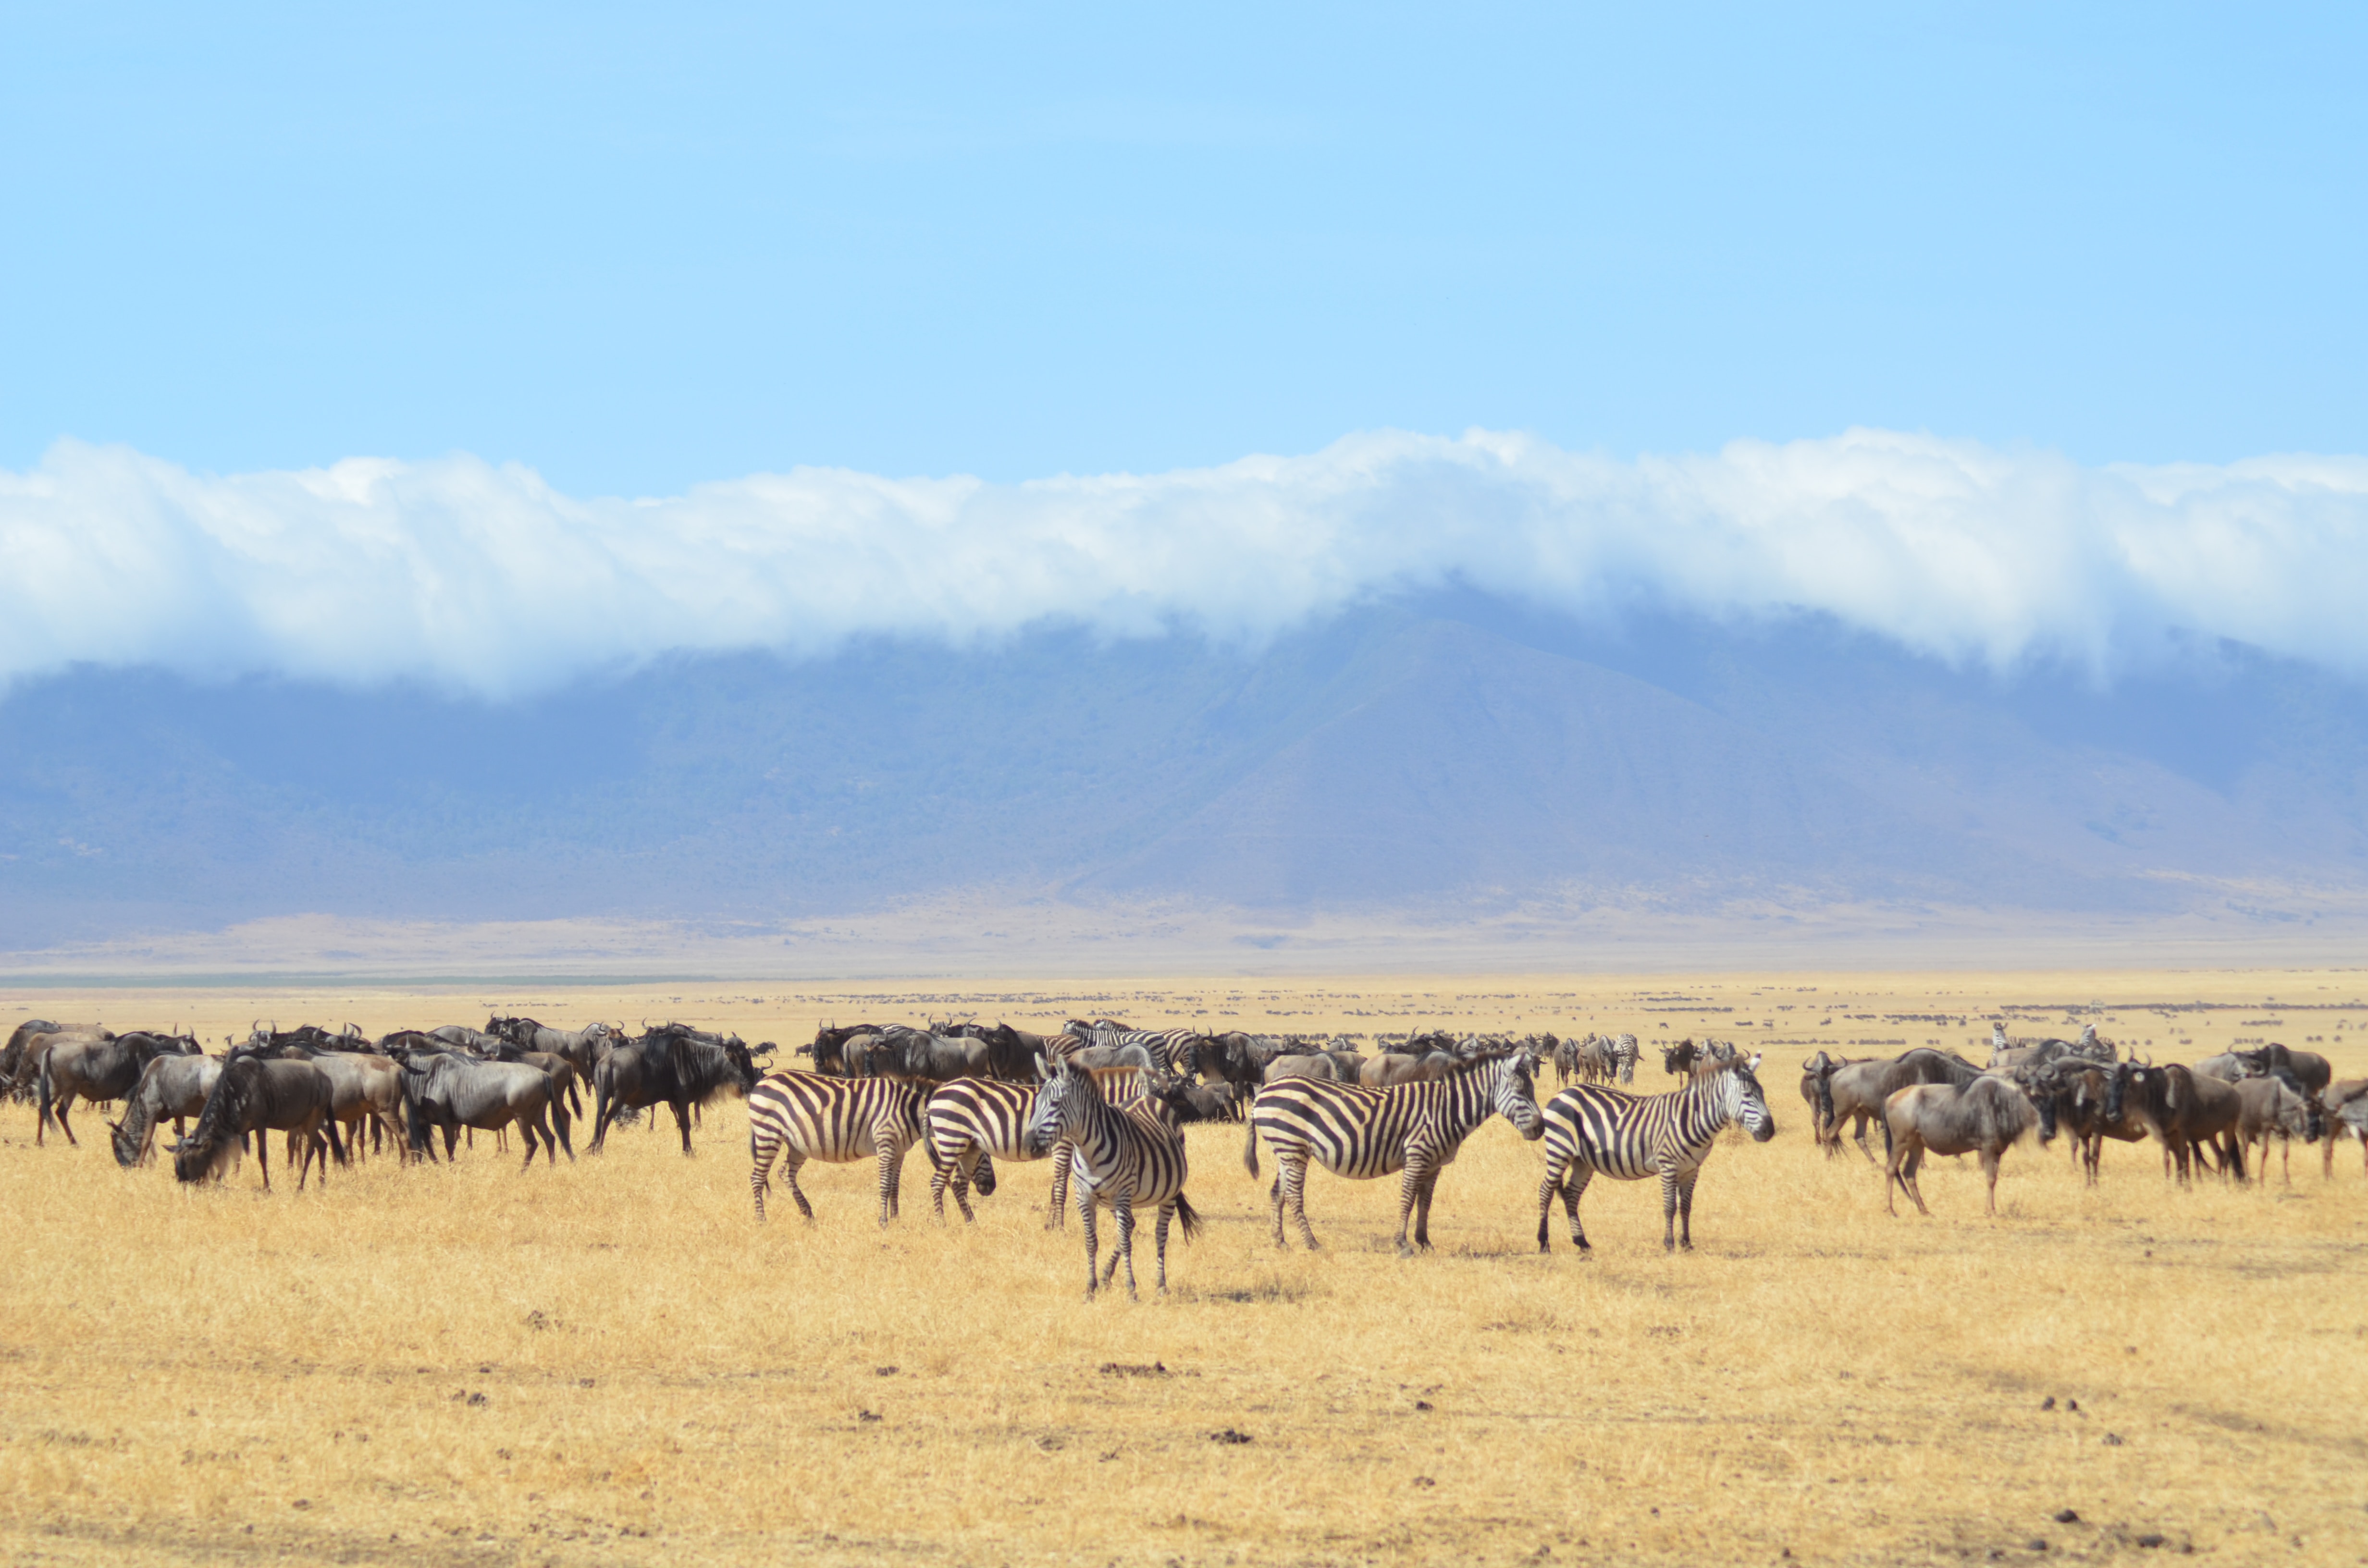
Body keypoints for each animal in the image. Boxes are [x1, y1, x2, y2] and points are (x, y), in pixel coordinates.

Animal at [748, 1075, 923, 1231]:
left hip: (796, 1145)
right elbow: (885, 1186)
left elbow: (895, 1187)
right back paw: (761, 1221)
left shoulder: (900, 1151)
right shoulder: (886, 1143)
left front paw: (896, 1220)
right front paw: (884, 1222)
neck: (906, 1109)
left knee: (785, 1173)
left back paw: (809, 1215)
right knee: (758, 1178)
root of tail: (762, 1082)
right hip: (768, 1133)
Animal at [1023, 1056, 1203, 1298]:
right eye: (1037, 1102)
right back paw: (1107, 1276)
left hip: (1167, 1194)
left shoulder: (1122, 1194)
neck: (1088, 1151)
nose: (1029, 1145)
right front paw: (1090, 1288)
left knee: (1159, 1234)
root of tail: (1148, 1098)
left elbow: (1126, 1242)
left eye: (1056, 1103)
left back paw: (1161, 1285)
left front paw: (1131, 1290)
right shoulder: (1084, 1196)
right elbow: (1091, 1242)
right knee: (1131, 1226)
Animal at [1250, 1056, 1544, 1269]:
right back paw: (1312, 1243)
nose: (1540, 1129)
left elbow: (1425, 1203)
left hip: (1287, 1150)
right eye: (1521, 1091)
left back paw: (1280, 1241)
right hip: (1292, 1146)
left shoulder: (1435, 1164)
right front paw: (1403, 1244)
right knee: (1294, 1196)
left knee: (1278, 1193)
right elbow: (1407, 1199)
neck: (1447, 1110)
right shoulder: (1418, 1155)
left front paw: (1425, 1242)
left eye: (1532, 1090)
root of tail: (1263, 1092)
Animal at [1534, 1052, 1780, 1260]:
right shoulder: (1668, 1165)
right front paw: (1670, 1244)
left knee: (1571, 1196)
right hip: (1559, 1150)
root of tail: (1564, 1092)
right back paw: (1544, 1243)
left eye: (1763, 1094)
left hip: (1582, 1161)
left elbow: (1686, 1207)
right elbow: (1670, 1206)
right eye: (1747, 1095)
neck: (1691, 1118)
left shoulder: (1692, 1169)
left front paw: (1687, 1244)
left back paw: (1582, 1243)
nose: (1769, 1131)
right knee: (1546, 1191)